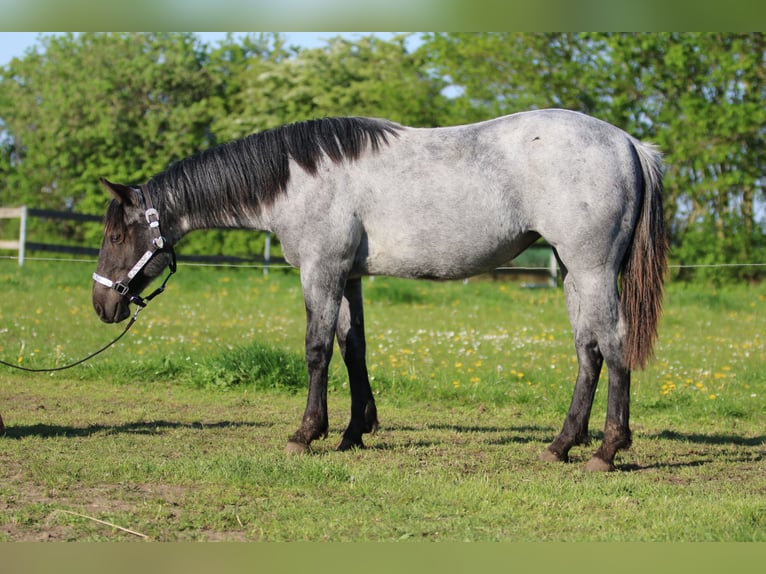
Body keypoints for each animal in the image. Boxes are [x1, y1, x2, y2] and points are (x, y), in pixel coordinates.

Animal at [91, 109, 664, 472]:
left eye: (117, 236)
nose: (103, 304)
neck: (298, 179)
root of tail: (628, 144)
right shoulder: (348, 276)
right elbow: (353, 348)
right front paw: (353, 432)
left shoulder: (320, 271)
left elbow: (317, 350)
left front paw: (307, 434)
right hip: (573, 273)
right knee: (588, 352)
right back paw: (562, 445)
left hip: (592, 269)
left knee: (613, 346)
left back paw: (606, 451)